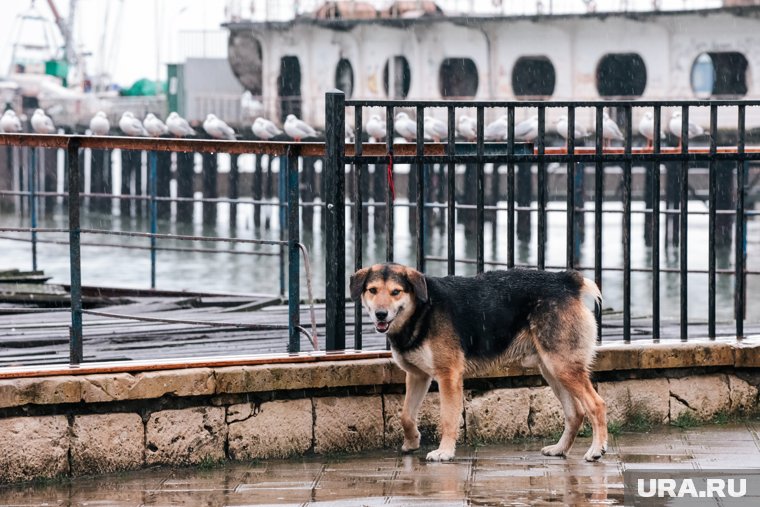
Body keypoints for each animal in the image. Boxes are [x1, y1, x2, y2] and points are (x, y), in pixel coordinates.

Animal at [348, 266, 604, 464]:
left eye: (396, 292)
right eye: (372, 290)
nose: (381, 314)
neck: (422, 311)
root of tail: (567, 280)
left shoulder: (448, 376)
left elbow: (448, 418)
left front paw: (444, 452)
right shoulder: (417, 376)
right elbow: (406, 416)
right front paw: (412, 442)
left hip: (562, 367)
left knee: (596, 404)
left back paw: (596, 450)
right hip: (552, 370)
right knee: (575, 413)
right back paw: (560, 449)